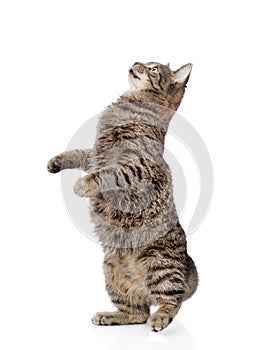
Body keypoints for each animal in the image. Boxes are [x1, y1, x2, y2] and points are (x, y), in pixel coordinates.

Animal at [48, 60, 198, 330]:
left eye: (153, 69)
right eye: (146, 64)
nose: (136, 63)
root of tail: (188, 265)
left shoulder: (134, 165)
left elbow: (108, 174)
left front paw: (82, 185)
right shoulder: (94, 154)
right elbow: (78, 153)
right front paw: (56, 161)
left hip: (159, 265)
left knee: (172, 300)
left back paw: (160, 318)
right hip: (112, 273)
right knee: (137, 313)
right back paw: (110, 315)